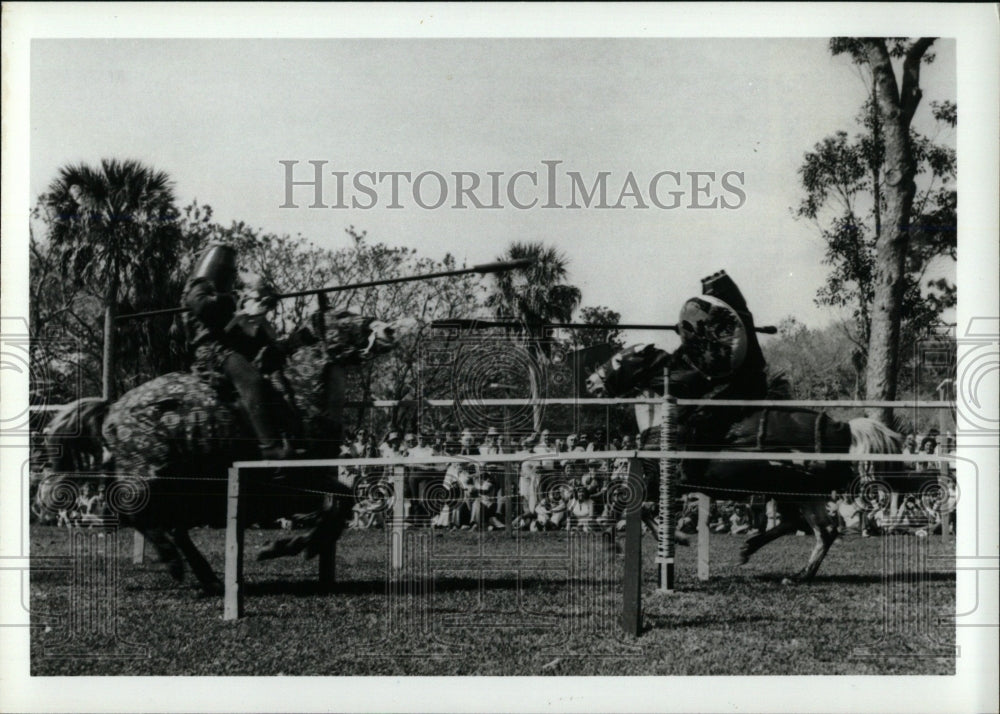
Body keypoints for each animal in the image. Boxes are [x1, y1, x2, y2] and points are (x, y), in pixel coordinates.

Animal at [38, 308, 406, 592]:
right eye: (342, 316)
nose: (389, 329)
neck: (297, 397)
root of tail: (113, 408)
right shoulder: (291, 483)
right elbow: (337, 503)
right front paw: (283, 546)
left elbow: (341, 502)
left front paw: (296, 545)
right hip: (151, 477)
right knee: (133, 511)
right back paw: (174, 563)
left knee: (169, 525)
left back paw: (208, 578)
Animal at [584, 342, 908, 580]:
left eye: (619, 360)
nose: (590, 382)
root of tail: (844, 430)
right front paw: (672, 538)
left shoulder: (660, 480)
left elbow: (623, 500)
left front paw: (669, 538)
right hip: (799, 493)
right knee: (819, 530)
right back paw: (789, 569)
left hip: (792, 490)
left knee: (814, 528)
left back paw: (783, 566)